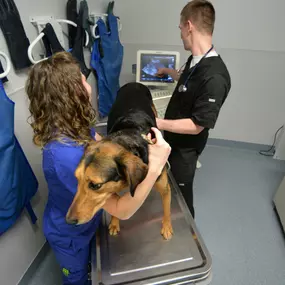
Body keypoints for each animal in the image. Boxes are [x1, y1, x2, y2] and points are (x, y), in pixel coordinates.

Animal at [66, 82, 173, 240]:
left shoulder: (164, 187)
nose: (68, 221)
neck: (128, 137)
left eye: (95, 185)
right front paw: (114, 223)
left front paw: (166, 227)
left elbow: (167, 209)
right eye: (76, 179)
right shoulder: (111, 189)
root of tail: (134, 83)